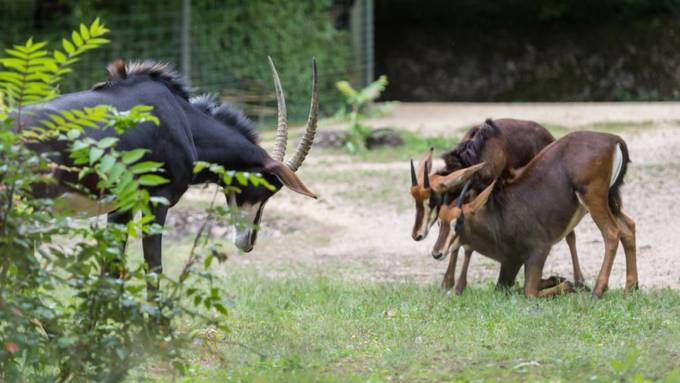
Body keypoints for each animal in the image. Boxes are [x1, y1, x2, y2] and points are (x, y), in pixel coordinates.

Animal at [21, 57, 318, 276]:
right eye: (268, 188)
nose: (247, 242)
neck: (183, 120)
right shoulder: (157, 200)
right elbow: (154, 267)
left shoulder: (121, 206)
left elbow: (112, 267)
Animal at [412, 120, 588, 294]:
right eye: (415, 200)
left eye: (431, 199)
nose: (417, 235)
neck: (480, 149)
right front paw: (448, 283)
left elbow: (467, 241)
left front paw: (459, 285)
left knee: (570, 234)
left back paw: (579, 281)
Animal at [432, 132, 636, 300]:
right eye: (439, 221)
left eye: (458, 221)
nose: (437, 253)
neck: (500, 215)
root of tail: (615, 141)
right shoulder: (511, 263)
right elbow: (505, 288)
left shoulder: (538, 251)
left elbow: (529, 291)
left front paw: (569, 285)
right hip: (609, 201)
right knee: (628, 227)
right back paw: (630, 289)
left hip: (593, 198)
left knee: (612, 233)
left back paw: (597, 291)